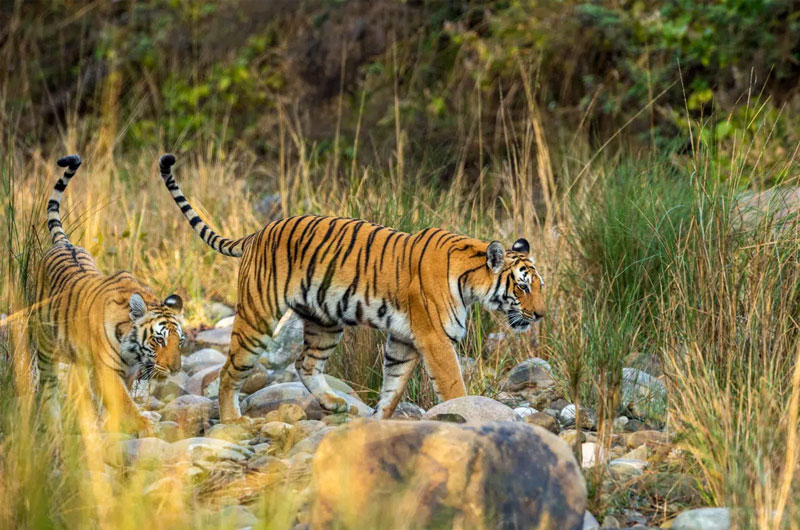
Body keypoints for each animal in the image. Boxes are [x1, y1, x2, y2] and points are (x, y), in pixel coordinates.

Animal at [31, 154, 186, 434]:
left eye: (179, 343)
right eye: (159, 340)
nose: (174, 369)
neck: (133, 351)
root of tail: (64, 243)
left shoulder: (126, 371)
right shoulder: (107, 371)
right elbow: (124, 402)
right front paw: (144, 426)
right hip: (46, 342)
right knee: (48, 384)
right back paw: (54, 422)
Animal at [158, 154, 544, 420]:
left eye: (539, 286)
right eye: (523, 288)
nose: (541, 315)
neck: (470, 280)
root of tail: (256, 233)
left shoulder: (404, 340)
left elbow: (393, 386)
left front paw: (379, 420)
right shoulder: (435, 339)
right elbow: (452, 386)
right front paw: (465, 414)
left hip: (325, 321)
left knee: (305, 363)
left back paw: (333, 404)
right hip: (258, 317)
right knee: (229, 371)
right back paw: (232, 421)